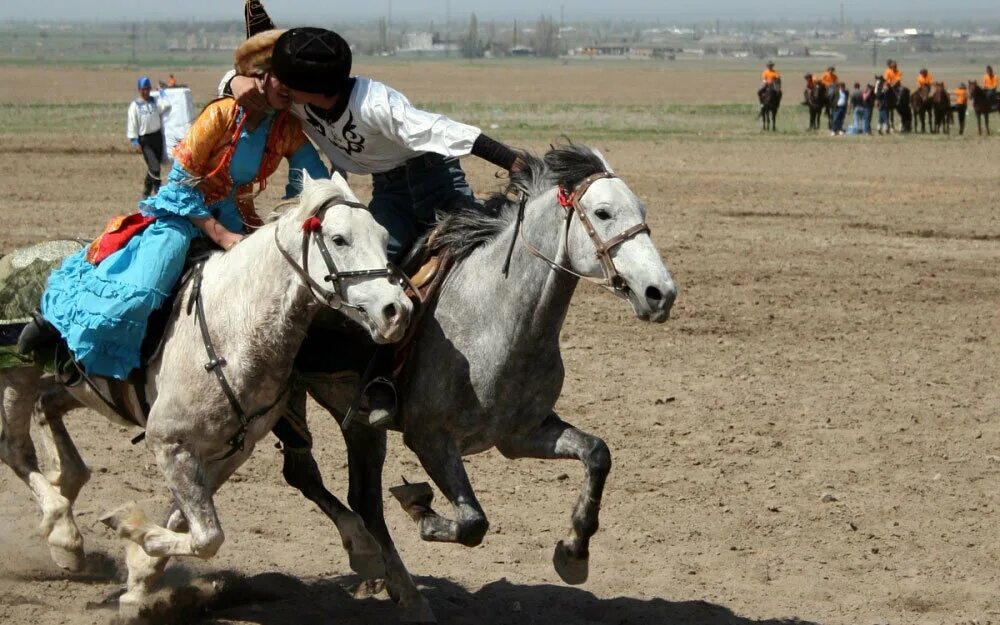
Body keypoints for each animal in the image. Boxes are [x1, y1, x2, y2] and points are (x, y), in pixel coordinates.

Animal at [0, 173, 414, 616]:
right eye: (339, 239)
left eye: (383, 236)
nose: (397, 311)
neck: (232, 328)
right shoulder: (170, 444)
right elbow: (207, 537)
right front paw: (128, 529)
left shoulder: (231, 451)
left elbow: (185, 522)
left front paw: (140, 576)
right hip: (16, 376)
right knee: (16, 449)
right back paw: (64, 534)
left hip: (75, 384)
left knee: (46, 408)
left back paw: (69, 496)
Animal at [292, 144, 680, 620]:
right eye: (603, 212)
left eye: (641, 209)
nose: (660, 293)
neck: (495, 316)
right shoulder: (430, 439)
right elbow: (474, 523)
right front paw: (422, 510)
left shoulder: (521, 434)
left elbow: (597, 454)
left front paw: (574, 553)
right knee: (322, 482)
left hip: (361, 425)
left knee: (360, 497)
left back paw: (399, 588)